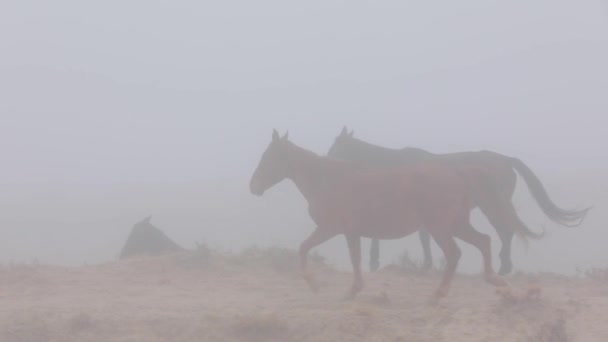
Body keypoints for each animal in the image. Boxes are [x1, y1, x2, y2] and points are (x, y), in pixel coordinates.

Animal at [251, 130, 536, 298]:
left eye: (268, 157)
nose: (253, 187)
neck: (329, 180)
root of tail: (458, 173)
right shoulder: (351, 232)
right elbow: (355, 258)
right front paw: (353, 289)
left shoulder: (331, 228)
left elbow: (304, 248)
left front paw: (315, 283)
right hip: (456, 224)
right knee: (484, 241)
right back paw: (495, 280)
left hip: (442, 227)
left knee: (457, 252)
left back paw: (440, 293)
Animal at [328, 127, 588, 274]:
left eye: (337, 145)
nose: (326, 159)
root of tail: (506, 160)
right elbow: (423, 237)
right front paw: (426, 264)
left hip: (492, 204)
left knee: (505, 231)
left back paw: (504, 267)